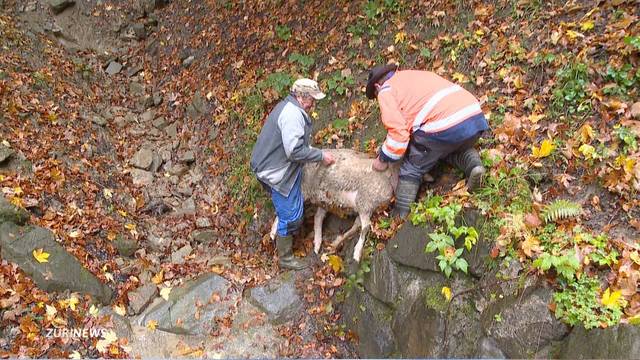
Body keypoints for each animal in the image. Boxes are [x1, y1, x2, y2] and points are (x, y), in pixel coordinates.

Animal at [268, 148, 398, 262]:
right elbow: (365, 226)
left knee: (318, 217)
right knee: (286, 211)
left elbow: (358, 225)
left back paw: (318, 242)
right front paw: (357, 252)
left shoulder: (367, 208)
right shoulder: (364, 203)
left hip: (323, 198)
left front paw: (337, 242)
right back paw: (273, 232)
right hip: (305, 189)